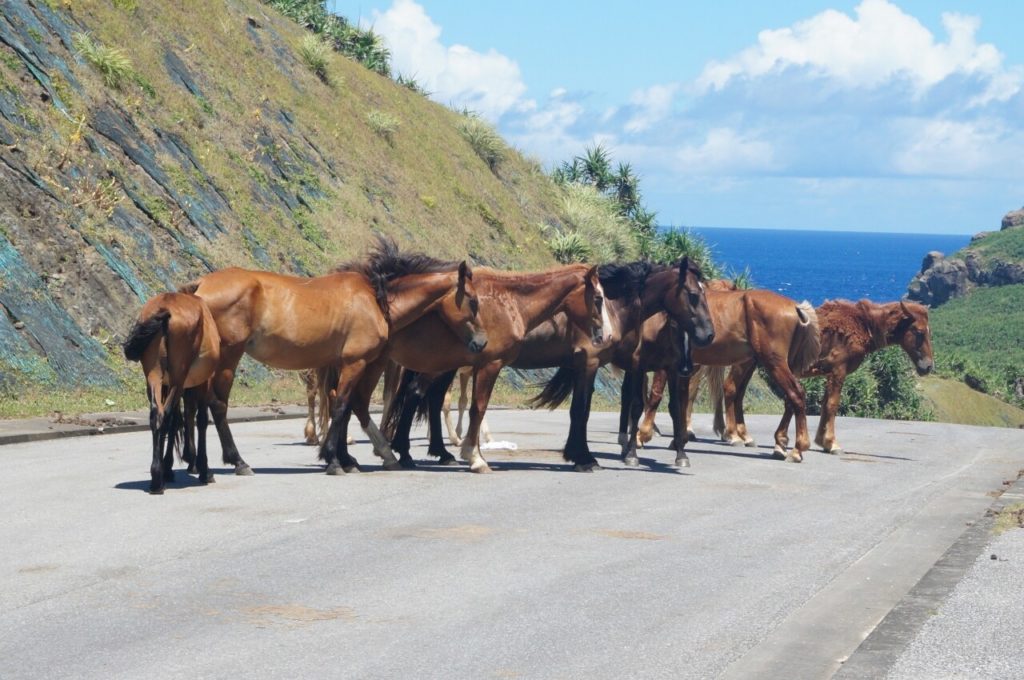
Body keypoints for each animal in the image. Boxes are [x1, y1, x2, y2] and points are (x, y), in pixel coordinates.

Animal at [122, 292, 221, 493]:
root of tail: (165, 308)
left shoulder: (168, 385)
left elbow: (176, 420)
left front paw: (168, 466)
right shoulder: (204, 382)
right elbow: (201, 420)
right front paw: (204, 470)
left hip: (154, 375)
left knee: (157, 414)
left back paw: (157, 474)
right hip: (178, 377)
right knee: (166, 415)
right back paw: (159, 476)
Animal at [186, 238, 485, 477]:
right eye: (473, 300)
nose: (482, 342)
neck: (375, 298)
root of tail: (201, 285)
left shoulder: (346, 365)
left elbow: (345, 406)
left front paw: (348, 457)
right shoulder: (356, 363)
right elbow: (342, 405)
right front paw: (333, 459)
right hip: (229, 356)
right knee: (217, 404)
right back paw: (237, 461)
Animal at [382, 264, 606, 473]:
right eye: (598, 298)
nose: (601, 335)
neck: (510, 304)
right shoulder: (490, 365)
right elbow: (478, 408)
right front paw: (475, 457)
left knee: (418, 394)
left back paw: (411, 452)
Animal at [618, 286, 819, 462]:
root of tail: (795, 307)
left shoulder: (666, 364)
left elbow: (656, 396)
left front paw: (642, 435)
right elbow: (682, 400)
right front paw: (678, 440)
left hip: (774, 362)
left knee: (796, 395)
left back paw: (797, 449)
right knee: (789, 400)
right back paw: (780, 444)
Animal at [712, 299, 937, 454]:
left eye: (929, 331)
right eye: (918, 332)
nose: (927, 366)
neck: (863, 325)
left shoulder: (828, 372)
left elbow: (818, 404)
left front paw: (818, 440)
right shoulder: (839, 369)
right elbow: (831, 405)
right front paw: (831, 442)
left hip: (751, 363)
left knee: (738, 393)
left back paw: (744, 436)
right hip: (745, 362)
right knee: (731, 388)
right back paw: (733, 436)